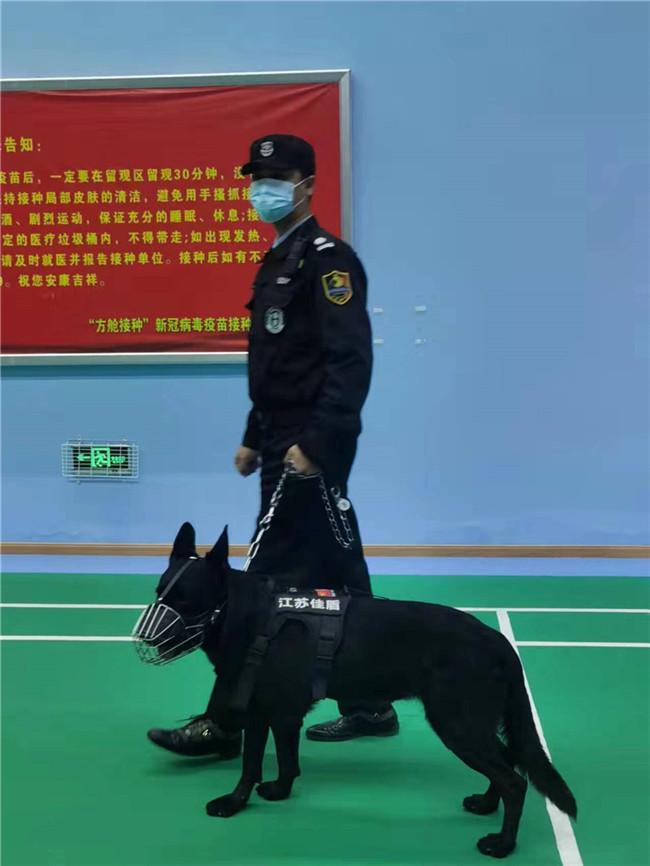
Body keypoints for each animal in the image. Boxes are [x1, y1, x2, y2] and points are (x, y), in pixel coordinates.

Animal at [136, 522, 577, 859]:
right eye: (159, 592)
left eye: (185, 599)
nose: (146, 638)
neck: (250, 615)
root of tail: (497, 642)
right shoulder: (274, 713)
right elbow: (273, 762)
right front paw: (267, 794)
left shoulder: (271, 712)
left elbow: (259, 762)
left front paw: (239, 801)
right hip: (470, 725)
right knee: (508, 763)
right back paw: (485, 804)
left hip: (457, 725)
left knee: (515, 781)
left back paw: (503, 843)